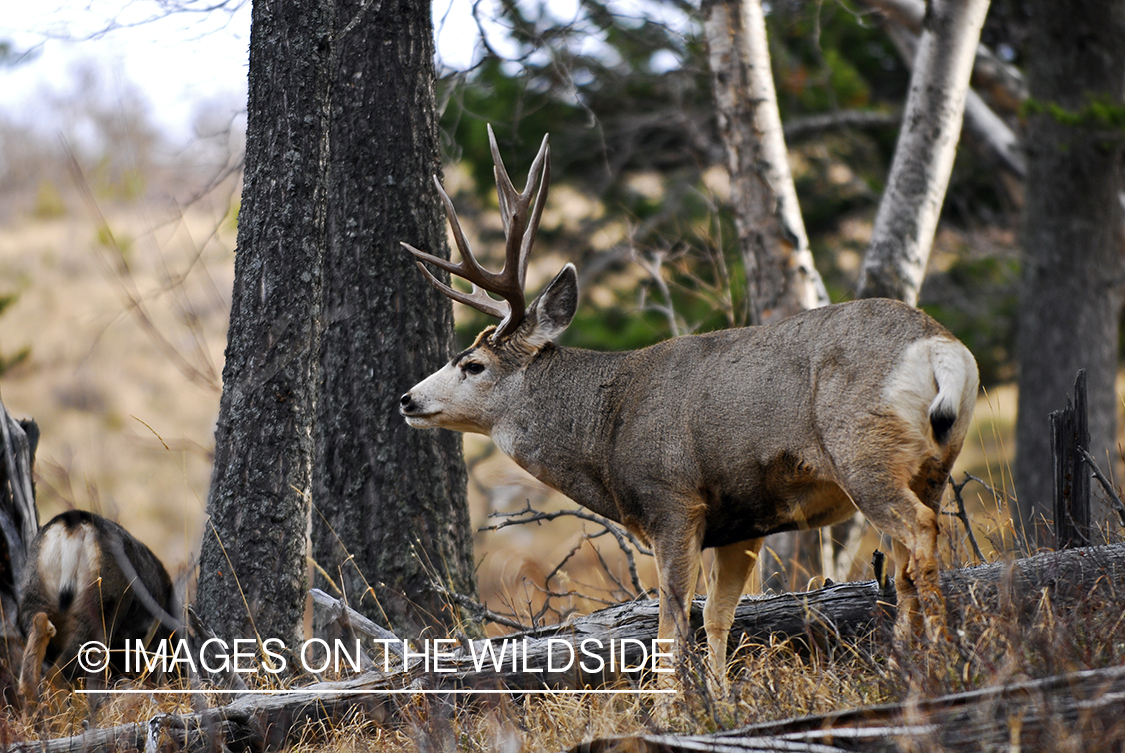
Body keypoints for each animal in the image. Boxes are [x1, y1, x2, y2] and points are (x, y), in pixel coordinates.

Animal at [399, 127, 979, 683]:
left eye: (473, 365)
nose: (406, 399)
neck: (604, 429)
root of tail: (940, 347)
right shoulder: (742, 523)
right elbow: (719, 618)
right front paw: (722, 700)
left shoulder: (673, 503)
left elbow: (671, 626)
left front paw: (676, 705)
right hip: (933, 464)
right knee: (906, 564)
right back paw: (906, 666)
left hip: (862, 454)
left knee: (921, 532)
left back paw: (942, 660)